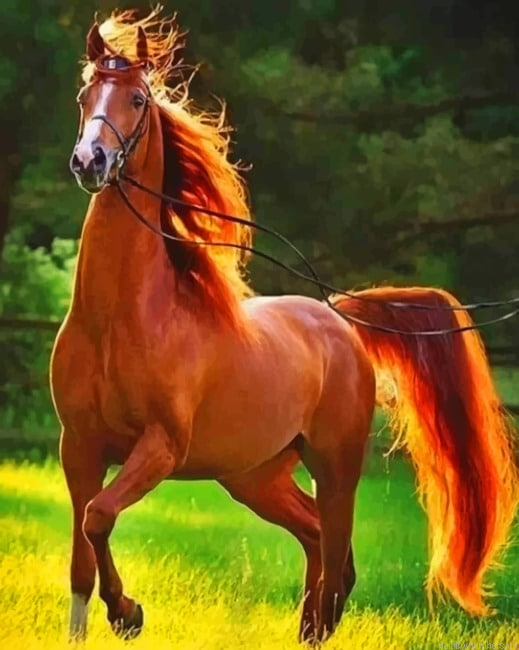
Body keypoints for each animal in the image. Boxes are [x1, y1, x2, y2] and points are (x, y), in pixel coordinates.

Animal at [50, 9, 518, 644]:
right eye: (84, 96)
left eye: (138, 100)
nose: (90, 161)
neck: (120, 321)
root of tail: (339, 319)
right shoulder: (79, 446)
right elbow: (83, 547)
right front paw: (105, 619)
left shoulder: (161, 447)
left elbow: (99, 517)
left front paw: (128, 613)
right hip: (255, 476)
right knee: (318, 540)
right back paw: (310, 628)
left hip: (334, 465)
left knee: (337, 547)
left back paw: (319, 626)